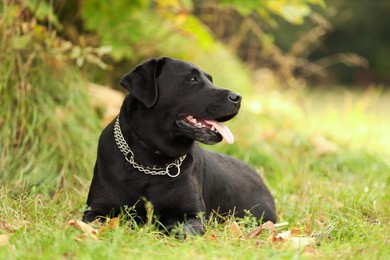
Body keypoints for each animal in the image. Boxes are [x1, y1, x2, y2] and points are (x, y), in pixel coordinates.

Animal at [84, 57, 276, 236]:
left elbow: (185, 230)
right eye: (192, 79)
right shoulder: (96, 209)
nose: (237, 97)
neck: (150, 161)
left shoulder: (192, 214)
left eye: (210, 80)